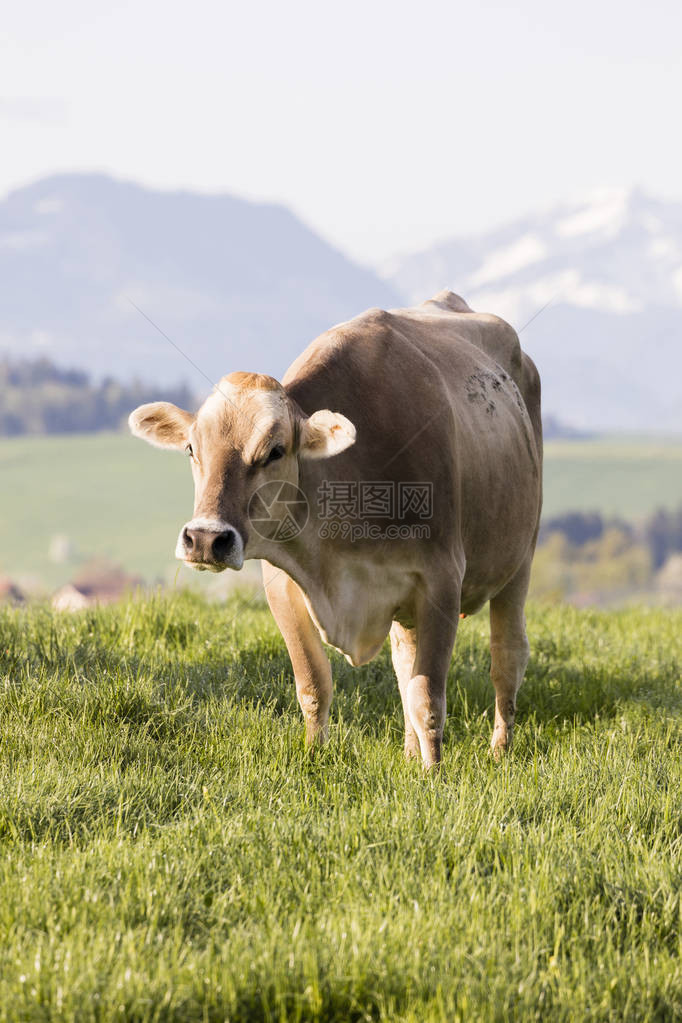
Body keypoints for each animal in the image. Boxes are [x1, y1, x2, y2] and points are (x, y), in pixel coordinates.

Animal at [130, 290, 539, 769]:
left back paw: (499, 750)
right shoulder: (283, 585)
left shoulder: (441, 578)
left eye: (275, 451)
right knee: (404, 661)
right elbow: (314, 684)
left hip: (520, 560)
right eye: (192, 448)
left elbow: (428, 698)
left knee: (507, 657)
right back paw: (407, 753)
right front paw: (313, 757)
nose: (207, 539)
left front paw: (435, 772)